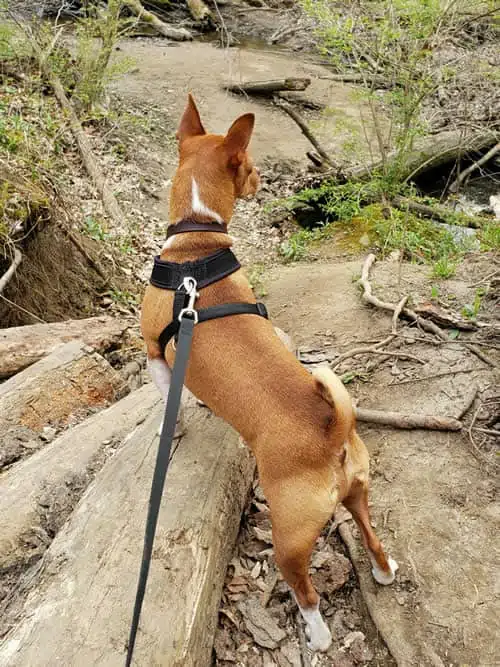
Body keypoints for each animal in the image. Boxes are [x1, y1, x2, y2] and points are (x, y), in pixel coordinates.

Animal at [142, 94, 398, 652]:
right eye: (254, 167)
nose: (262, 182)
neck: (195, 243)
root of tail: (333, 431)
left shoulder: (153, 350)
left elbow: (169, 396)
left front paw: (173, 426)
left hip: (289, 538)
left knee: (306, 589)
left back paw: (317, 634)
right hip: (359, 495)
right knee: (372, 536)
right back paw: (384, 569)